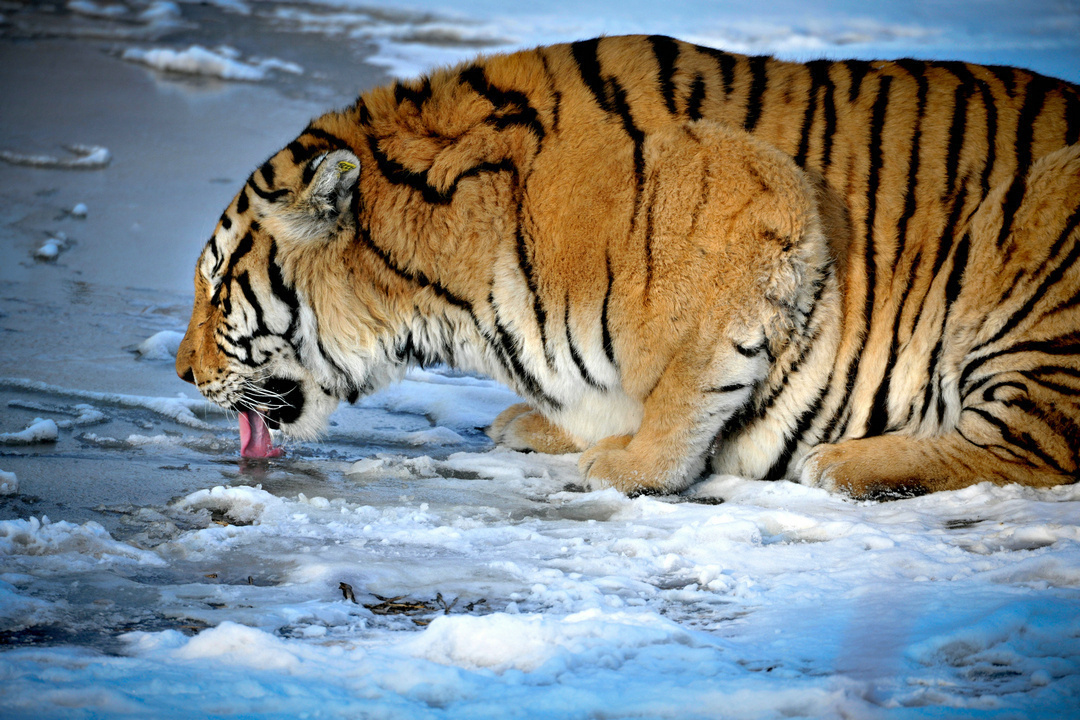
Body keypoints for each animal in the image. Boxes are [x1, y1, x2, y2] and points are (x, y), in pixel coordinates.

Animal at [177, 33, 1080, 498]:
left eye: (219, 289)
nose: (182, 374)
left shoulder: (760, 200)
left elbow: (687, 383)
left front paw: (631, 463)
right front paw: (546, 425)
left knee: (1037, 443)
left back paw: (844, 463)